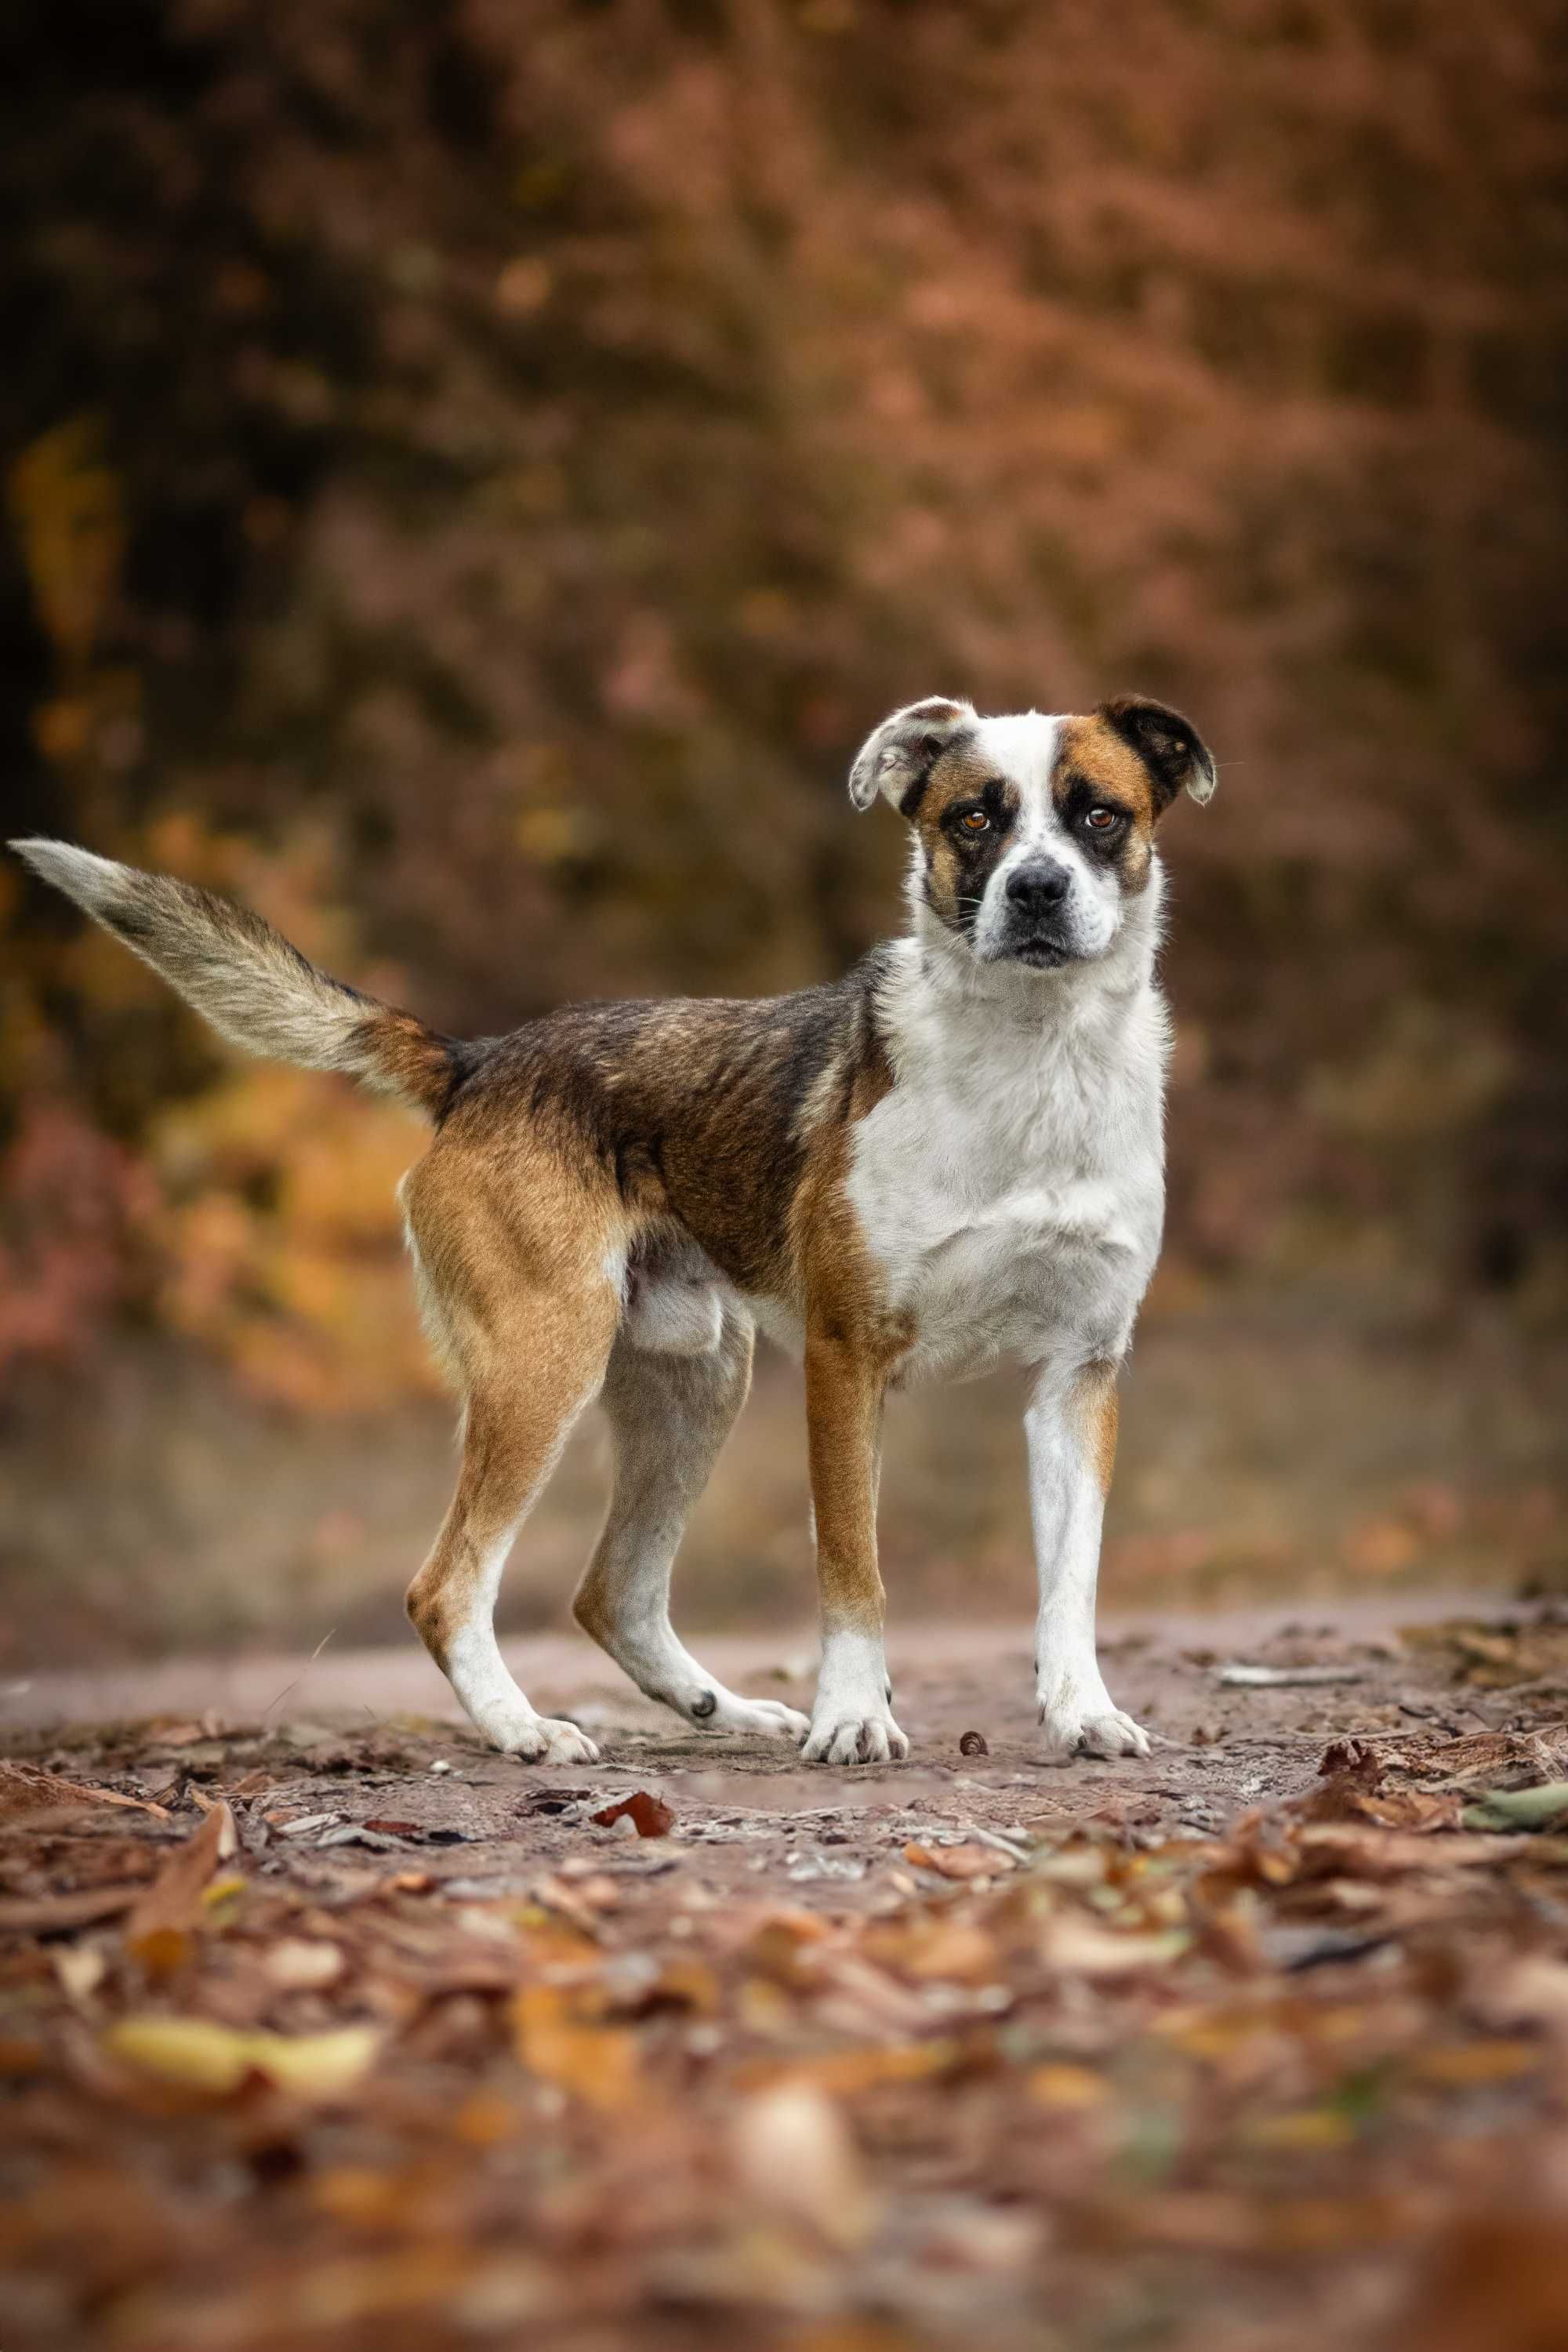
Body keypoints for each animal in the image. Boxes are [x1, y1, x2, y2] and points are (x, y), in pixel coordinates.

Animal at [12, 691, 1213, 1769]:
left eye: (1097, 814)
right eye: (974, 819)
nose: (1038, 888)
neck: (1031, 1065)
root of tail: (478, 1062)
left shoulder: (1078, 1376)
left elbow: (1070, 1583)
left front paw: (1081, 1713)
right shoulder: (846, 1362)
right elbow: (852, 1573)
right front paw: (852, 1721)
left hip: (696, 1381)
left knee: (611, 1593)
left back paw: (721, 1711)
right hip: (547, 1364)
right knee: (446, 1587)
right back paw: (524, 1731)